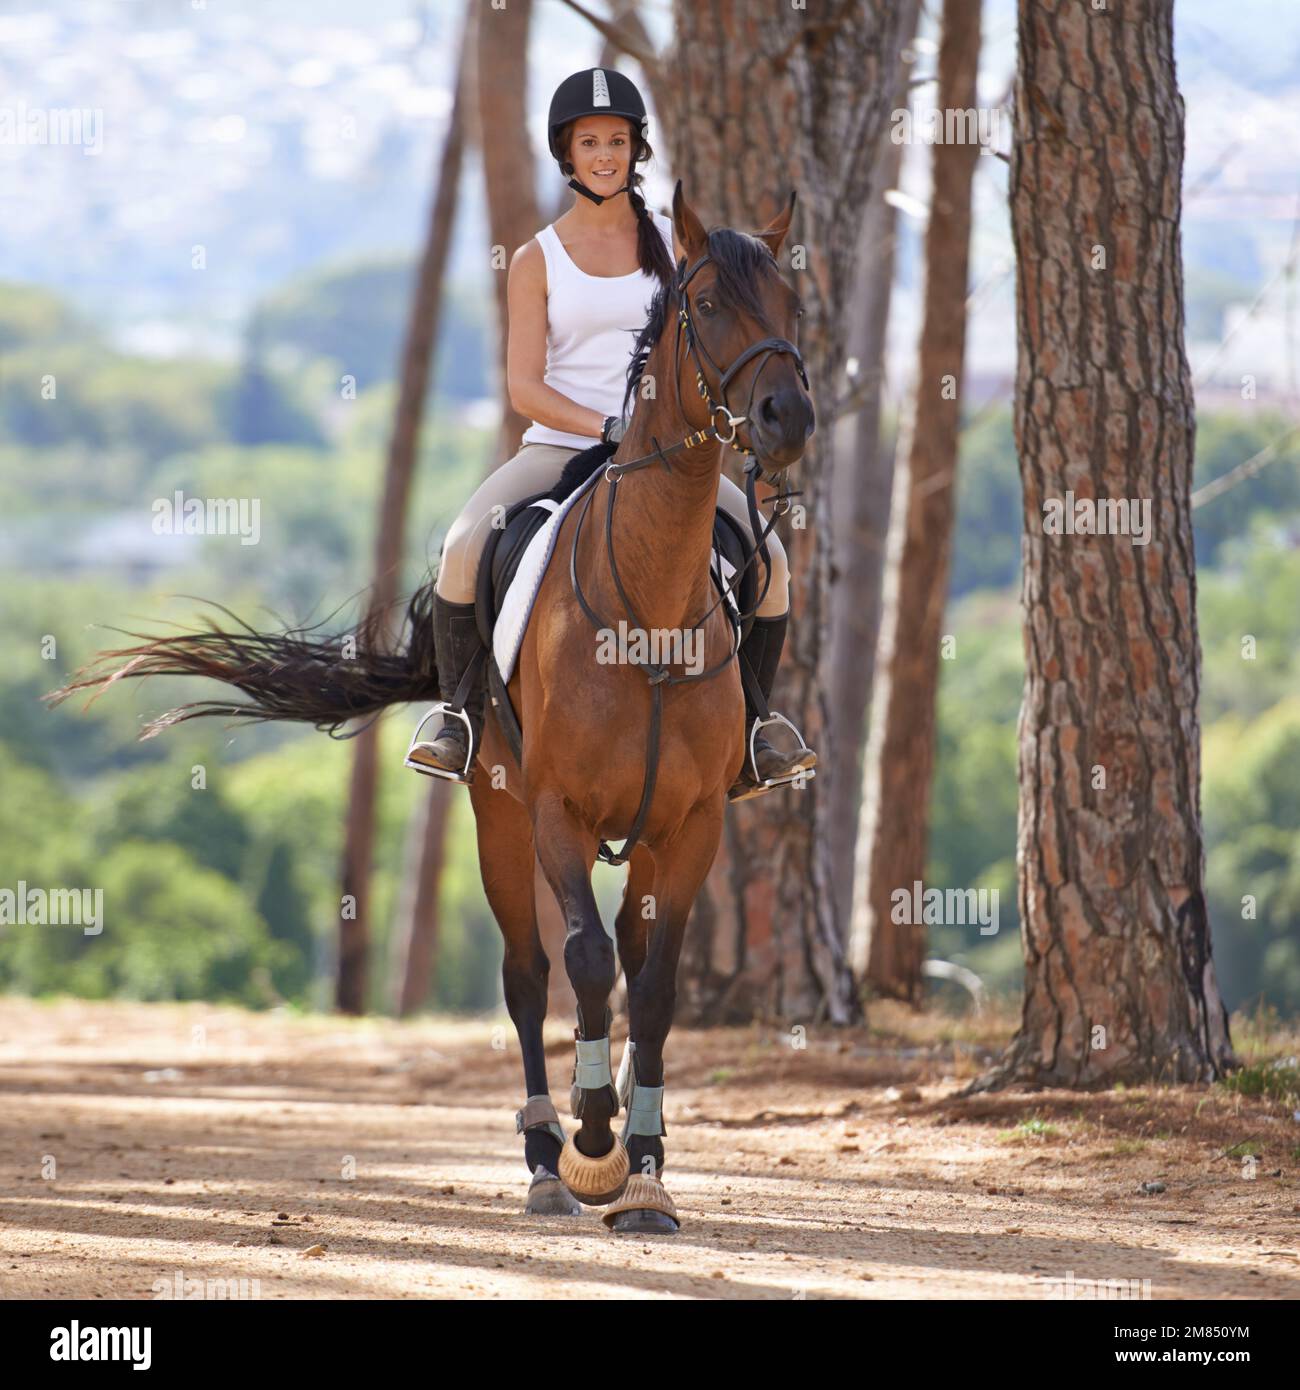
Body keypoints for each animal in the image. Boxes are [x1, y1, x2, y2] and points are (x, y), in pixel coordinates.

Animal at [53, 179, 823, 1234]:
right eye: (705, 307)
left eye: (793, 306)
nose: (788, 418)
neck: (650, 606)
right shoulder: (553, 811)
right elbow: (581, 961)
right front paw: (592, 1141)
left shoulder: (694, 820)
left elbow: (655, 985)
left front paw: (646, 1174)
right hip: (495, 810)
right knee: (529, 973)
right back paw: (546, 1162)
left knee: (623, 961)